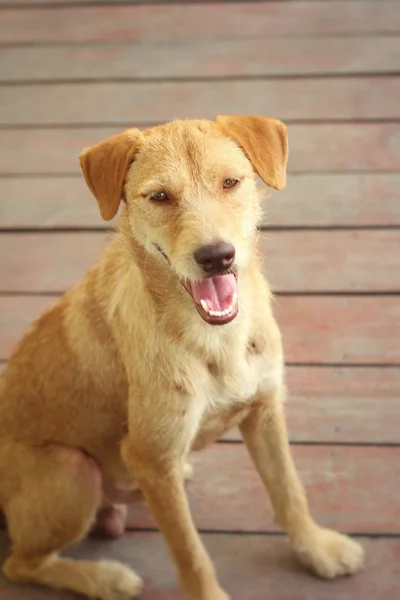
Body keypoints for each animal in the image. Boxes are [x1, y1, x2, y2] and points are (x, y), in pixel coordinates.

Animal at [0, 115, 362, 596]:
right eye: (159, 196)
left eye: (230, 182)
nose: (216, 256)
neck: (216, 339)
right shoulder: (153, 460)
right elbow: (190, 552)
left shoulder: (265, 410)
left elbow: (289, 491)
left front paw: (316, 549)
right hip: (72, 471)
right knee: (19, 564)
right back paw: (105, 578)